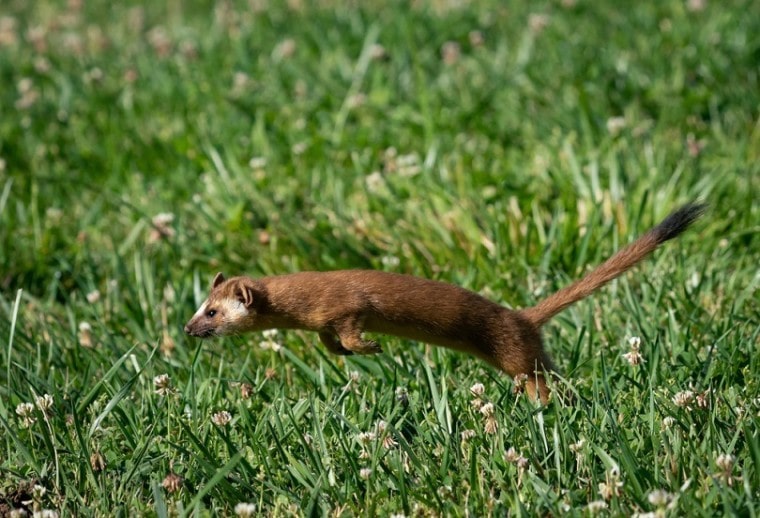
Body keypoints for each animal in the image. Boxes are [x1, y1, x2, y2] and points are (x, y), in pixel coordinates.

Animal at [184, 203, 708, 402]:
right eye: (198, 306)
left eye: (212, 312)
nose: (188, 329)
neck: (307, 296)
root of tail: (522, 316)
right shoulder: (324, 321)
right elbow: (330, 340)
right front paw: (346, 352)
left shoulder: (347, 304)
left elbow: (352, 326)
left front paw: (370, 348)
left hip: (516, 354)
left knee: (540, 377)